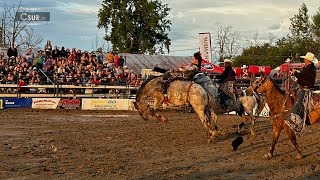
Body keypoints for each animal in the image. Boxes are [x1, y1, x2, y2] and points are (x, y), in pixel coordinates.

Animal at [134, 75, 264, 141]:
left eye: (139, 110)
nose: (144, 118)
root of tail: (250, 91)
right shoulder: (211, 111)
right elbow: (213, 123)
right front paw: (220, 132)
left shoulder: (159, 97)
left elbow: (153, 110)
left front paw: (163, 119)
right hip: (239, 110)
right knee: (246, 119)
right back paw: (234, 131)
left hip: (246, 109)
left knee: (252, 119)